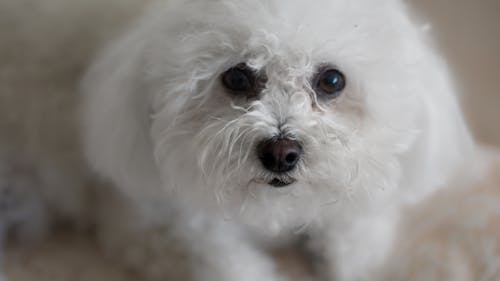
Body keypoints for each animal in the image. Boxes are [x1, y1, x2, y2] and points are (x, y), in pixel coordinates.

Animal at [0, 0, 488, 278]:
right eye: (237, 77)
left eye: (332, 80)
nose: (281, 152)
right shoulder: (145, 219)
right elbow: (227, 263)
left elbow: (356, 230)